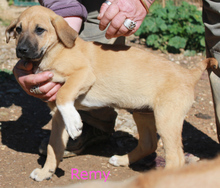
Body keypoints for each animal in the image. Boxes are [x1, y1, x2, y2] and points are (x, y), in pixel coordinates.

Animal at [5, 5, 218, 181]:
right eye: (18, 29)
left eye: (40, 29)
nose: (21, 50)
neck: (54, 51)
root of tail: (188, 74)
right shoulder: (57, 116)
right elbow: (53, 146)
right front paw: (46, 172)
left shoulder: (83, 74)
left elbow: (63, 95)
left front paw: (75, 123)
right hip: (143, 113)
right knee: (148, 144)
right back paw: (122, 160)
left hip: (167, 119)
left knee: (176, 159)